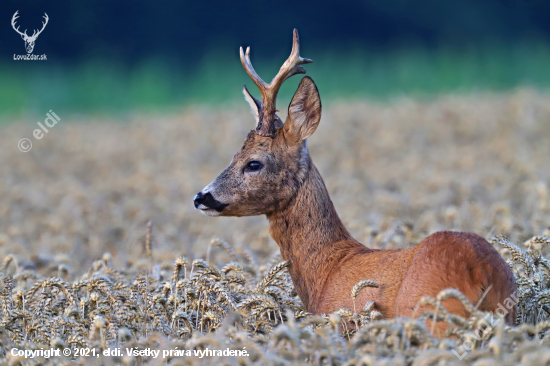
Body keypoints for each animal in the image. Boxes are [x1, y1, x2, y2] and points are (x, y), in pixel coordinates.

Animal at [194, 29, 516, 332]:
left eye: (254, 163)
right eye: (233, 155)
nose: (201, 197)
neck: (327, 267)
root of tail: (481, 271)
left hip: (432, 319)